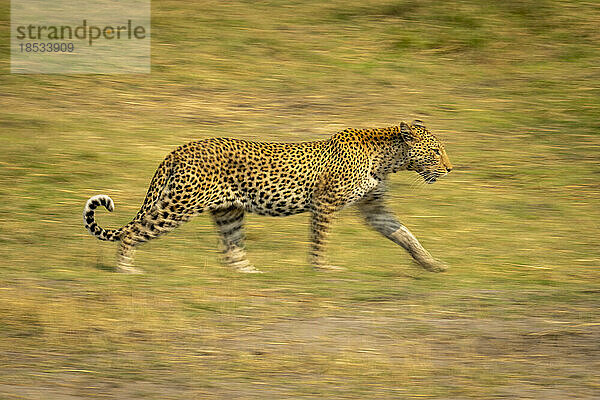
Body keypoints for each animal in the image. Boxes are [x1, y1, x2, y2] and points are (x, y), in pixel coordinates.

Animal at [83, 120, 450, 274]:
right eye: (435, 151)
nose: (450, 168)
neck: (388, 159)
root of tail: (179, 149)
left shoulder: (374, 210)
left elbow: (406, 236)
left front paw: (431, 264)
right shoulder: (326, 203)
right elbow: (321, 239)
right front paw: (322, 268)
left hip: (229, 210)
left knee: (231, 249)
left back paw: (252, 274)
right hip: (180, 206)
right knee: (133, 232)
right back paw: (126, 268)